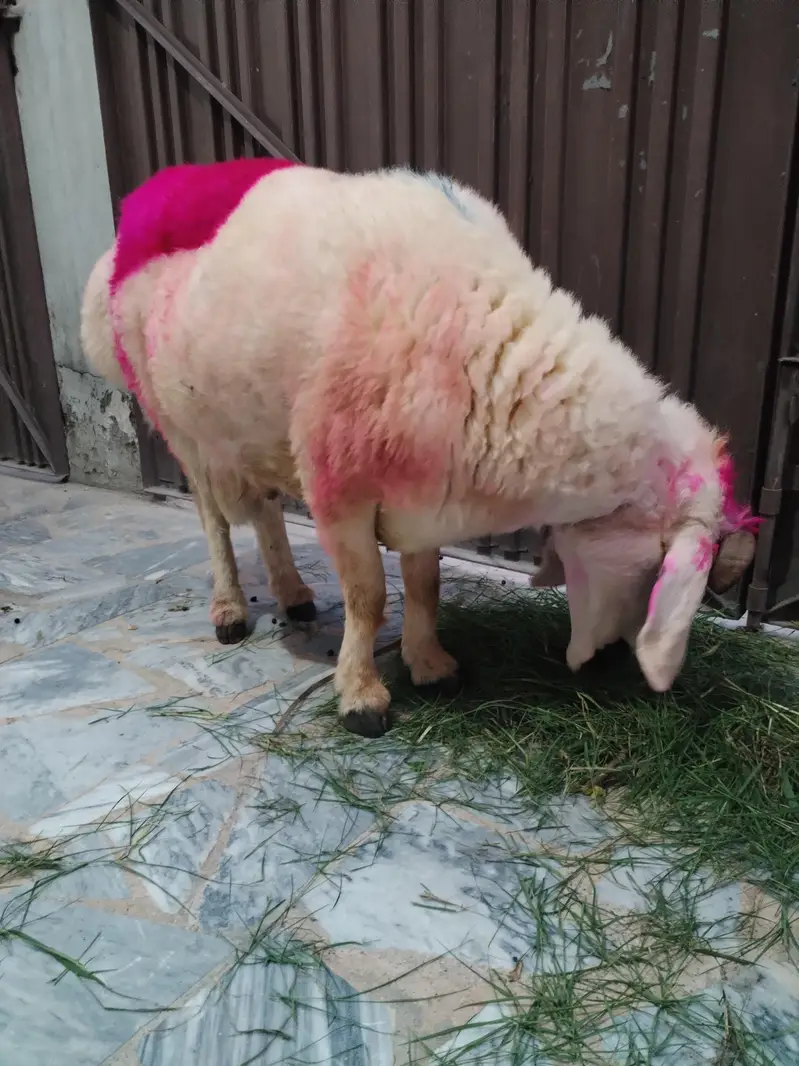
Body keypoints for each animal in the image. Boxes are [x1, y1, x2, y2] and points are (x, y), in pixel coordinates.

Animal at [81, 160, 757, 737]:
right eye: (653, 567)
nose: (613, 659)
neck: (489, 352)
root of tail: (147, 202)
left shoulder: (429, 494)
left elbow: (425, 584)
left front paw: (430, 665)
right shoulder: (341, 491)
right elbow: (368, 598)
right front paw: (361, 697)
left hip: (256, 431)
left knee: (267, 512)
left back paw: (294, 595)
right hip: (180, 423)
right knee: (214, 520)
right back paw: (229, 610)